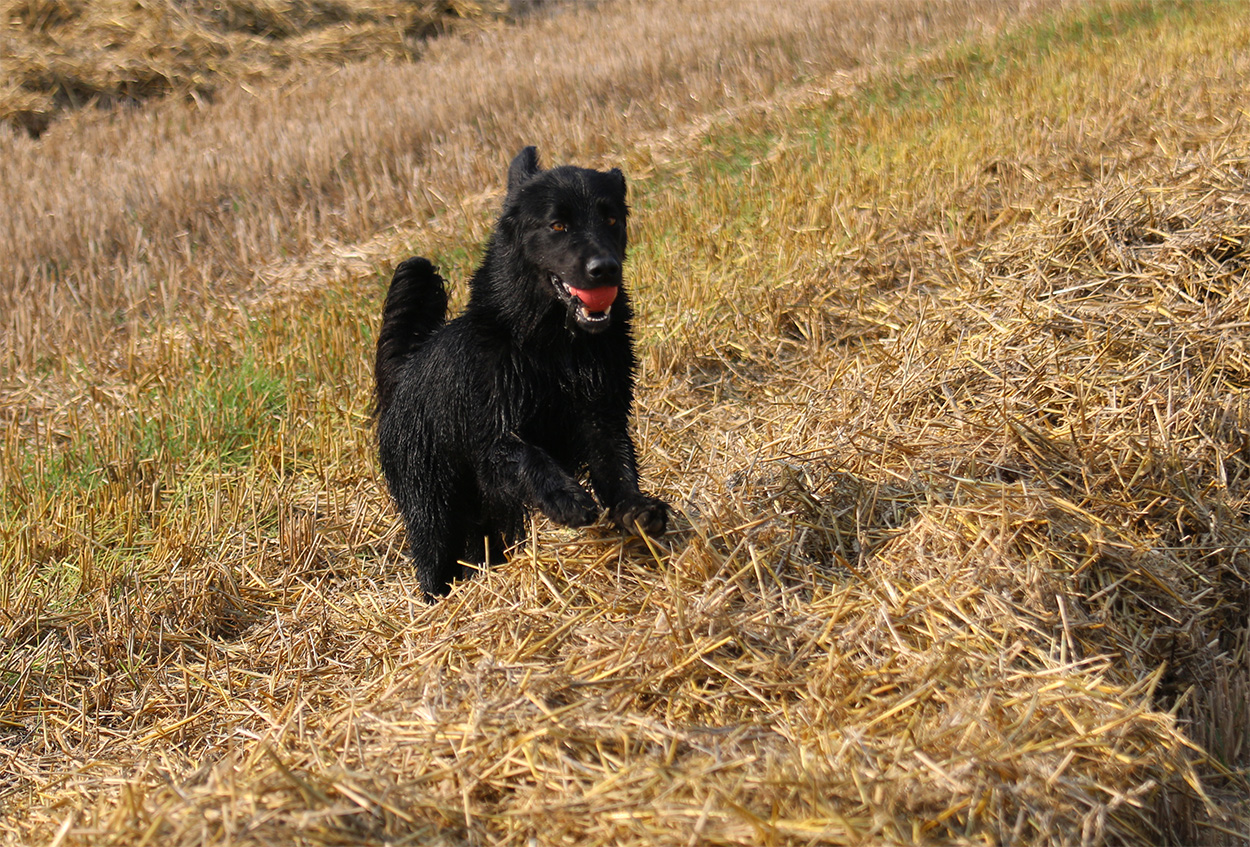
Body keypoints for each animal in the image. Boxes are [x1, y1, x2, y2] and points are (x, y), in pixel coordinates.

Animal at [374, 146, 669, 598]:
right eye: (558, 225)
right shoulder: (492, 440)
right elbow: (529, 455)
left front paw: (636, 510)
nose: (605, 268)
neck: (555, 347)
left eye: (611, 219)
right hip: (433, 509)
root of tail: (404, 372)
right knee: (433, 559)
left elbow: (617, 465)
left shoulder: (602, 416)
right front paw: (566, 498)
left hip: (489, 519)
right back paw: (440, 602)